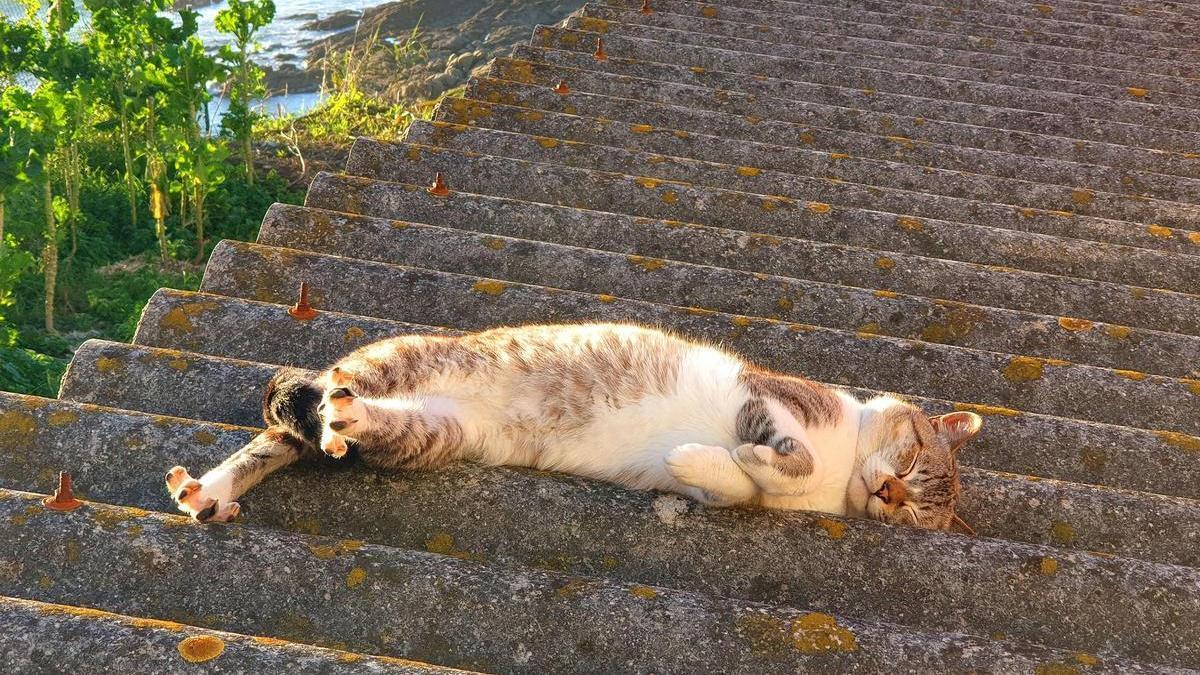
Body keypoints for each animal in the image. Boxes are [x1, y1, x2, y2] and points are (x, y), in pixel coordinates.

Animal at [164, 319, 979, 530]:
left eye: (921, 512)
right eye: (915, 459)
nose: (891, 497)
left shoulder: (750, 496)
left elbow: (738, 488)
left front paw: (698, 463)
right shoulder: (772, 399)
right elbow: (785, 447)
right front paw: (764, 454)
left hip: (432, 437)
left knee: (310, 437)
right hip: (398, 364)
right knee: (281, 418)